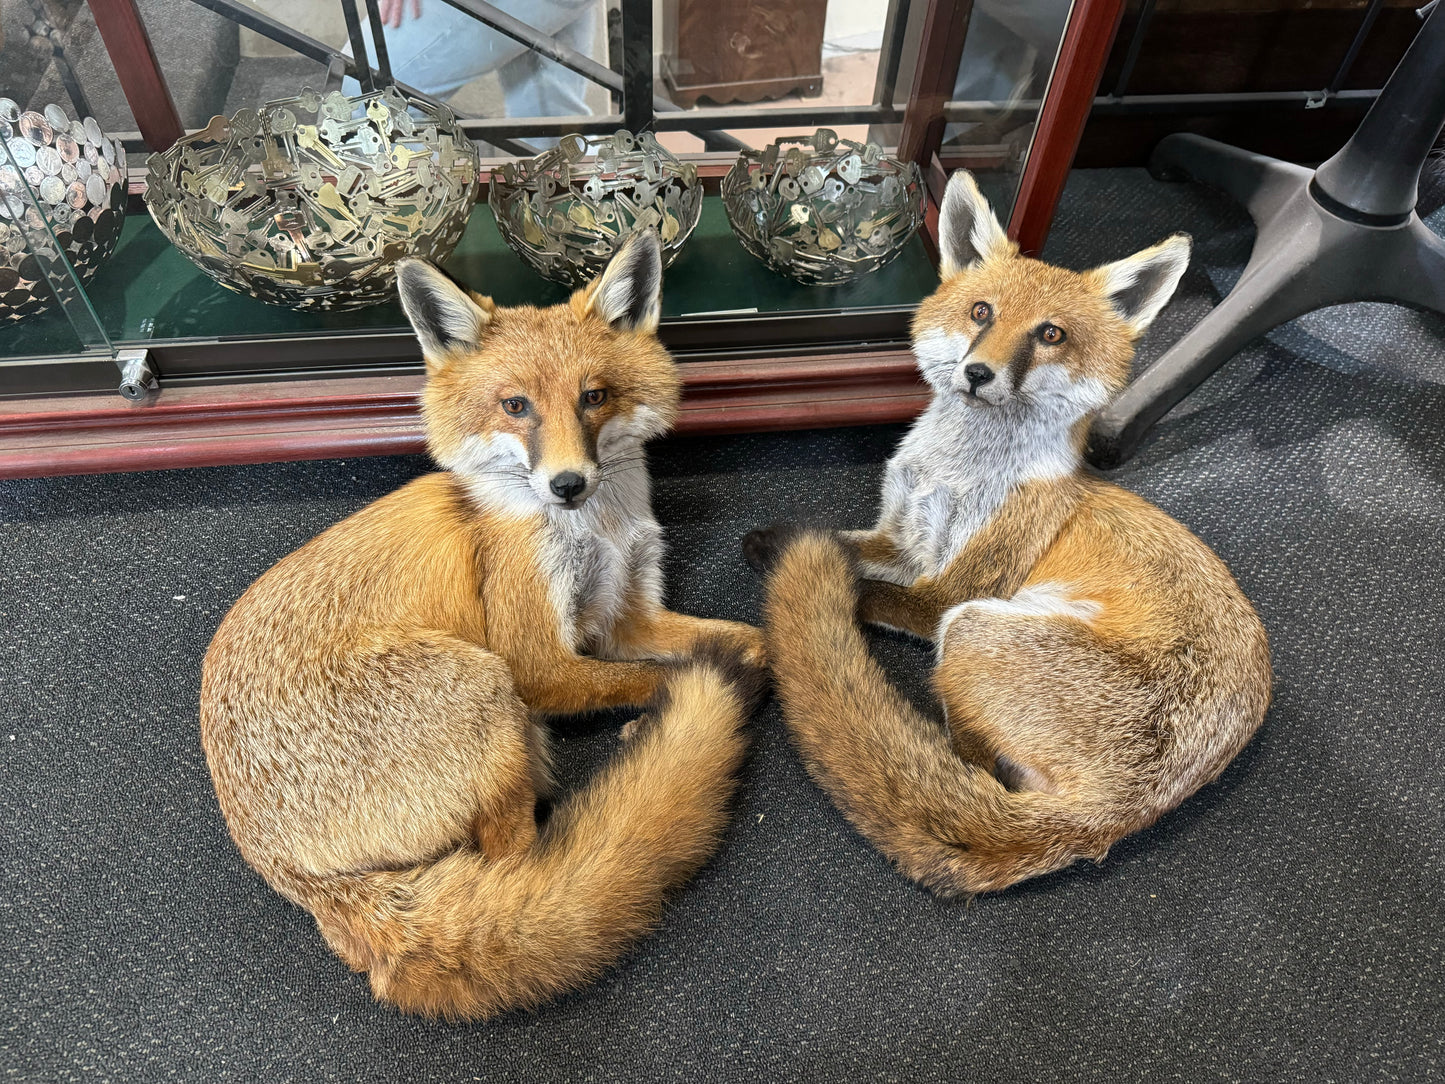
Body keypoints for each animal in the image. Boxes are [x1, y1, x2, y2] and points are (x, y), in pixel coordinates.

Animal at [205, 234, 774, 1023]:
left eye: (593, 396)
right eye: (515, 406)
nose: (567, 484)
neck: (597, 530)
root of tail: (286, 869)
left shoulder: (626, 615)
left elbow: (744, 639)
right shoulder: (539, 662)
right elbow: (645, 677)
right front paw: (663, 706)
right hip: (485, 683)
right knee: (521, 868)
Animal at [751, 171, 1271, 901]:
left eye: (1049, 333)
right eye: (981, 313)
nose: (977, 374)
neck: (954, 473)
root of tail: (1105, 821)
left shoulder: (948, 589)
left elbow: (864, 587)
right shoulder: (907, 540)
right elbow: (842, 542)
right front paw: (768, 542)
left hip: (971, 627)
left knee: (972, 764)